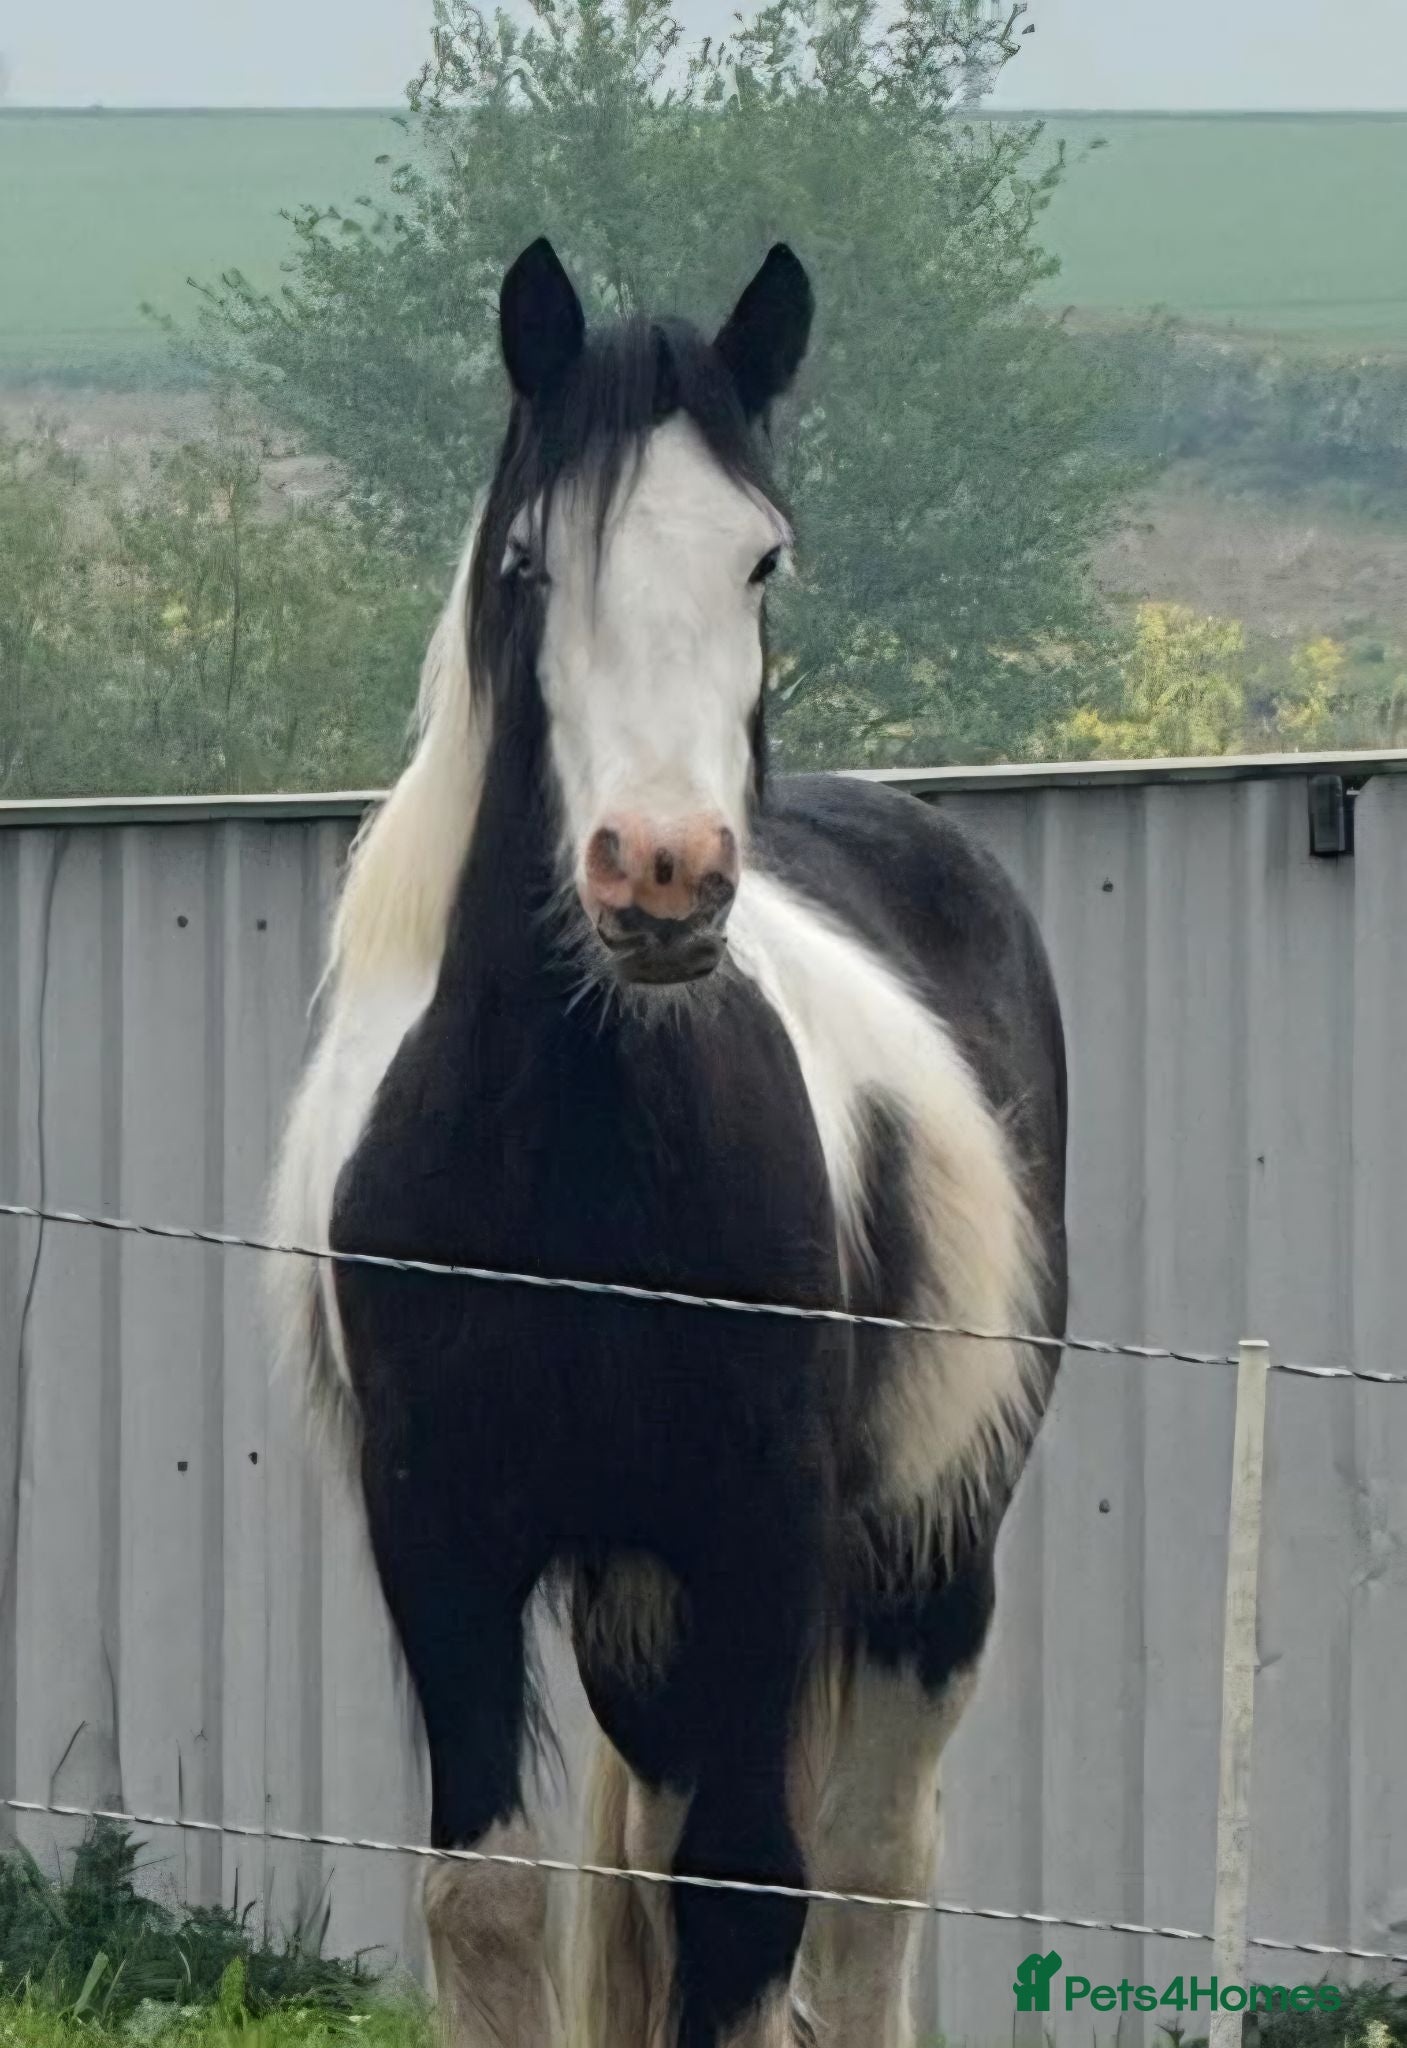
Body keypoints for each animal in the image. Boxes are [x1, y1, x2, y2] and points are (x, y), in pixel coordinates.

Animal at [270, 238, 1067, 2048]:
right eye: (526, 558)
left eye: (759, 557)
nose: (659, 871)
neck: (569, 1161)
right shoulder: (442, 1529)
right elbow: (489, 1899)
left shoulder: (760, 1525)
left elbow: (746, 1899)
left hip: (926, 1565)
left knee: (866, 1880)